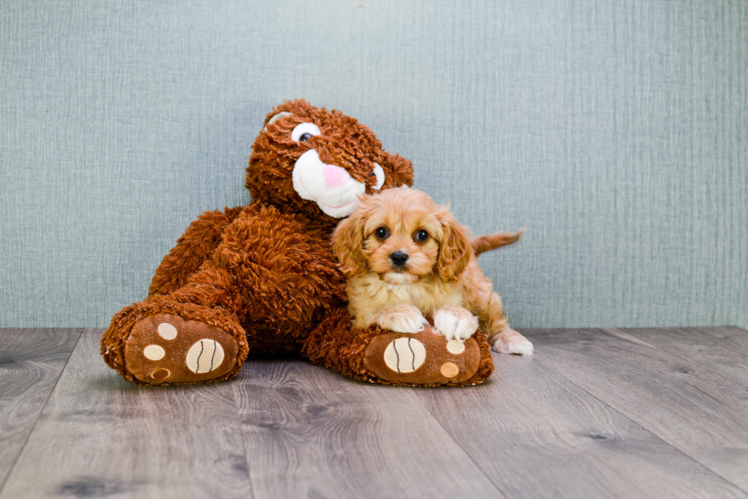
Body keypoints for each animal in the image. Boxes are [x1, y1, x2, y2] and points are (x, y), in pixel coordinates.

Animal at [332, 188, 532, 356]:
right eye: (381, 232)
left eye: (422, 235)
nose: (399, 256)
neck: (407, 285)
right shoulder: (359, 316)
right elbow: (375, 312)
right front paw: (401, 313)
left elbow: (453, 309)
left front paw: (455, 317)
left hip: (478, 292)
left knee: (494, 316)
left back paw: (511, 339)